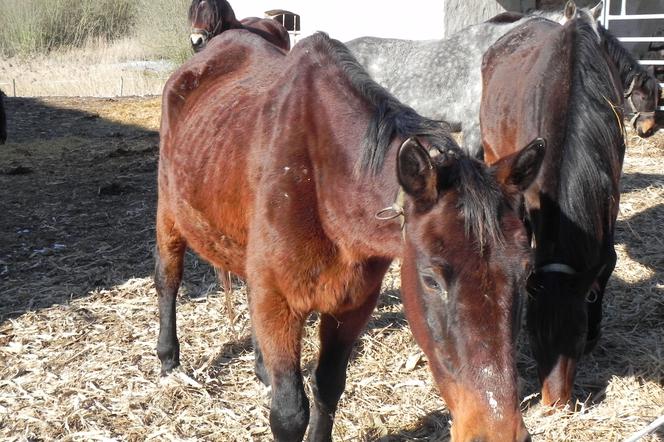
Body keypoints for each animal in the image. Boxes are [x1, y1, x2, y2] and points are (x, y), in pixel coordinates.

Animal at [157, 30, 544, 442]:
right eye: (430, 279)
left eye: (526, 273)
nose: (497, 432)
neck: (324, 181)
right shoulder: (280, 301)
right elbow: (289, 413)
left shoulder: (352, 304)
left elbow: (328, 386)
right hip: (169, 214)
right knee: (168, 279)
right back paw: (169, 362)